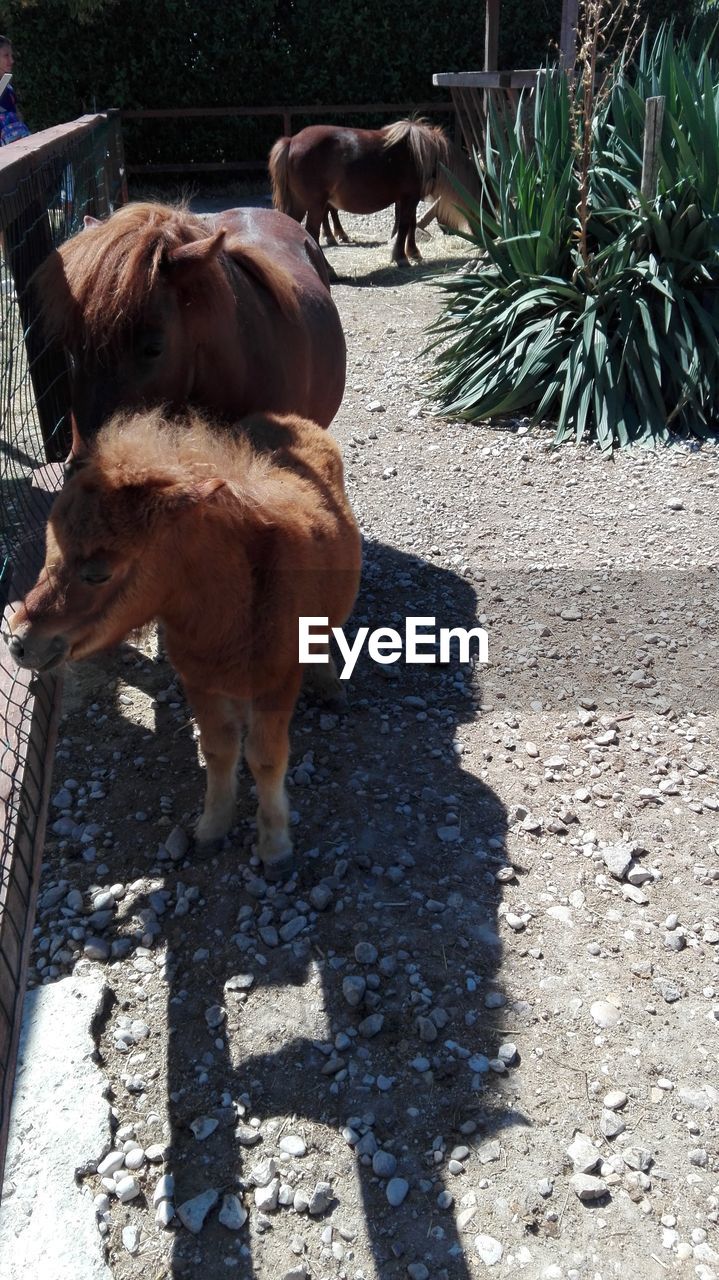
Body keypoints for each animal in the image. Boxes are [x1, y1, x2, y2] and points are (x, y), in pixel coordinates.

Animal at [5, 409, 360, 880]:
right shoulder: (200, 681)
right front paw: (212, 827)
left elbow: (266, 759)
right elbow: (218, 749)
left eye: (98, 573)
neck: (233, 611)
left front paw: (274, 847)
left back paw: (329, 684)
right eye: (49, 547)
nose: (19, 643)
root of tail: (290, 417)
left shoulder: (277, 684)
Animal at [268, 119, 475, 266]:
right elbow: (405, 225)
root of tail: (291, 141)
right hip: (315, 205)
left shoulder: (407, 199)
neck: (424, 154)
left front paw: (413, 252)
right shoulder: (410, 197)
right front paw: (401, 257)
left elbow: (409, 224)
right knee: (312, 232)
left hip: (299, 205)